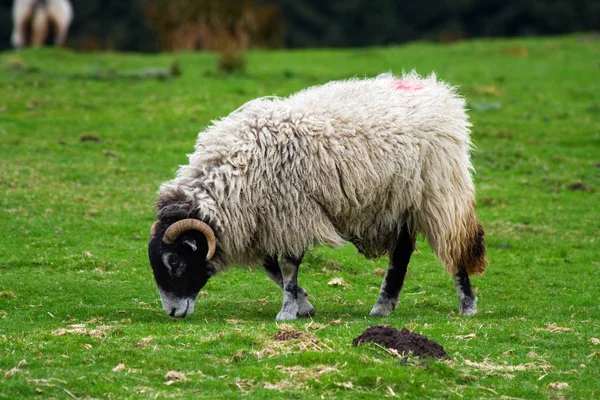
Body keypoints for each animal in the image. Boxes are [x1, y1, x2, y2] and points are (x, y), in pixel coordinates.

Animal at [146, 72, 488, 320]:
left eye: (174, 260)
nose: (173, 312)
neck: (238, 173)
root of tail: (436, 91)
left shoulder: (291, 211)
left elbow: (287, 267)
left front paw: (287, 312)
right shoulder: (267, 219)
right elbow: (271, 267)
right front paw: (304, 304)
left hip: (437, 192)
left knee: (453, 245)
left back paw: (467, 305)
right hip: (400, 200)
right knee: (401, 253)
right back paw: (383, 306)